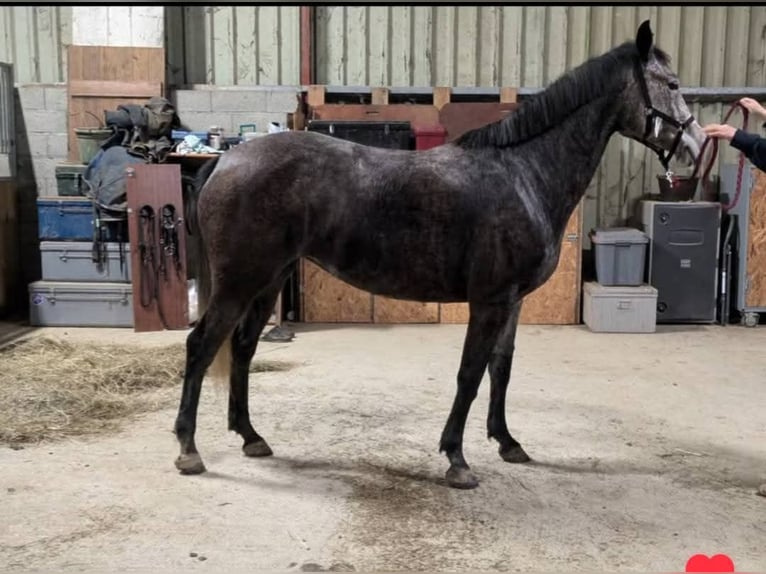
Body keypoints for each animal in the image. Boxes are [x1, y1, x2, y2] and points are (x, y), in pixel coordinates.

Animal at [172, 21, 708, 490]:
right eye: (672, 84)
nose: (697, 147)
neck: (522, 173)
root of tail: (226, 159)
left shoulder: (512, 301)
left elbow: (501, 368)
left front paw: (507, 443)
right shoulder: (489, 301)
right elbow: (469, 374)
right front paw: (457, 459)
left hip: (268, 280)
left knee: (243, 347)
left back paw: (251, 437)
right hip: (240, 281)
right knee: (201, 345)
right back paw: (188, 449)